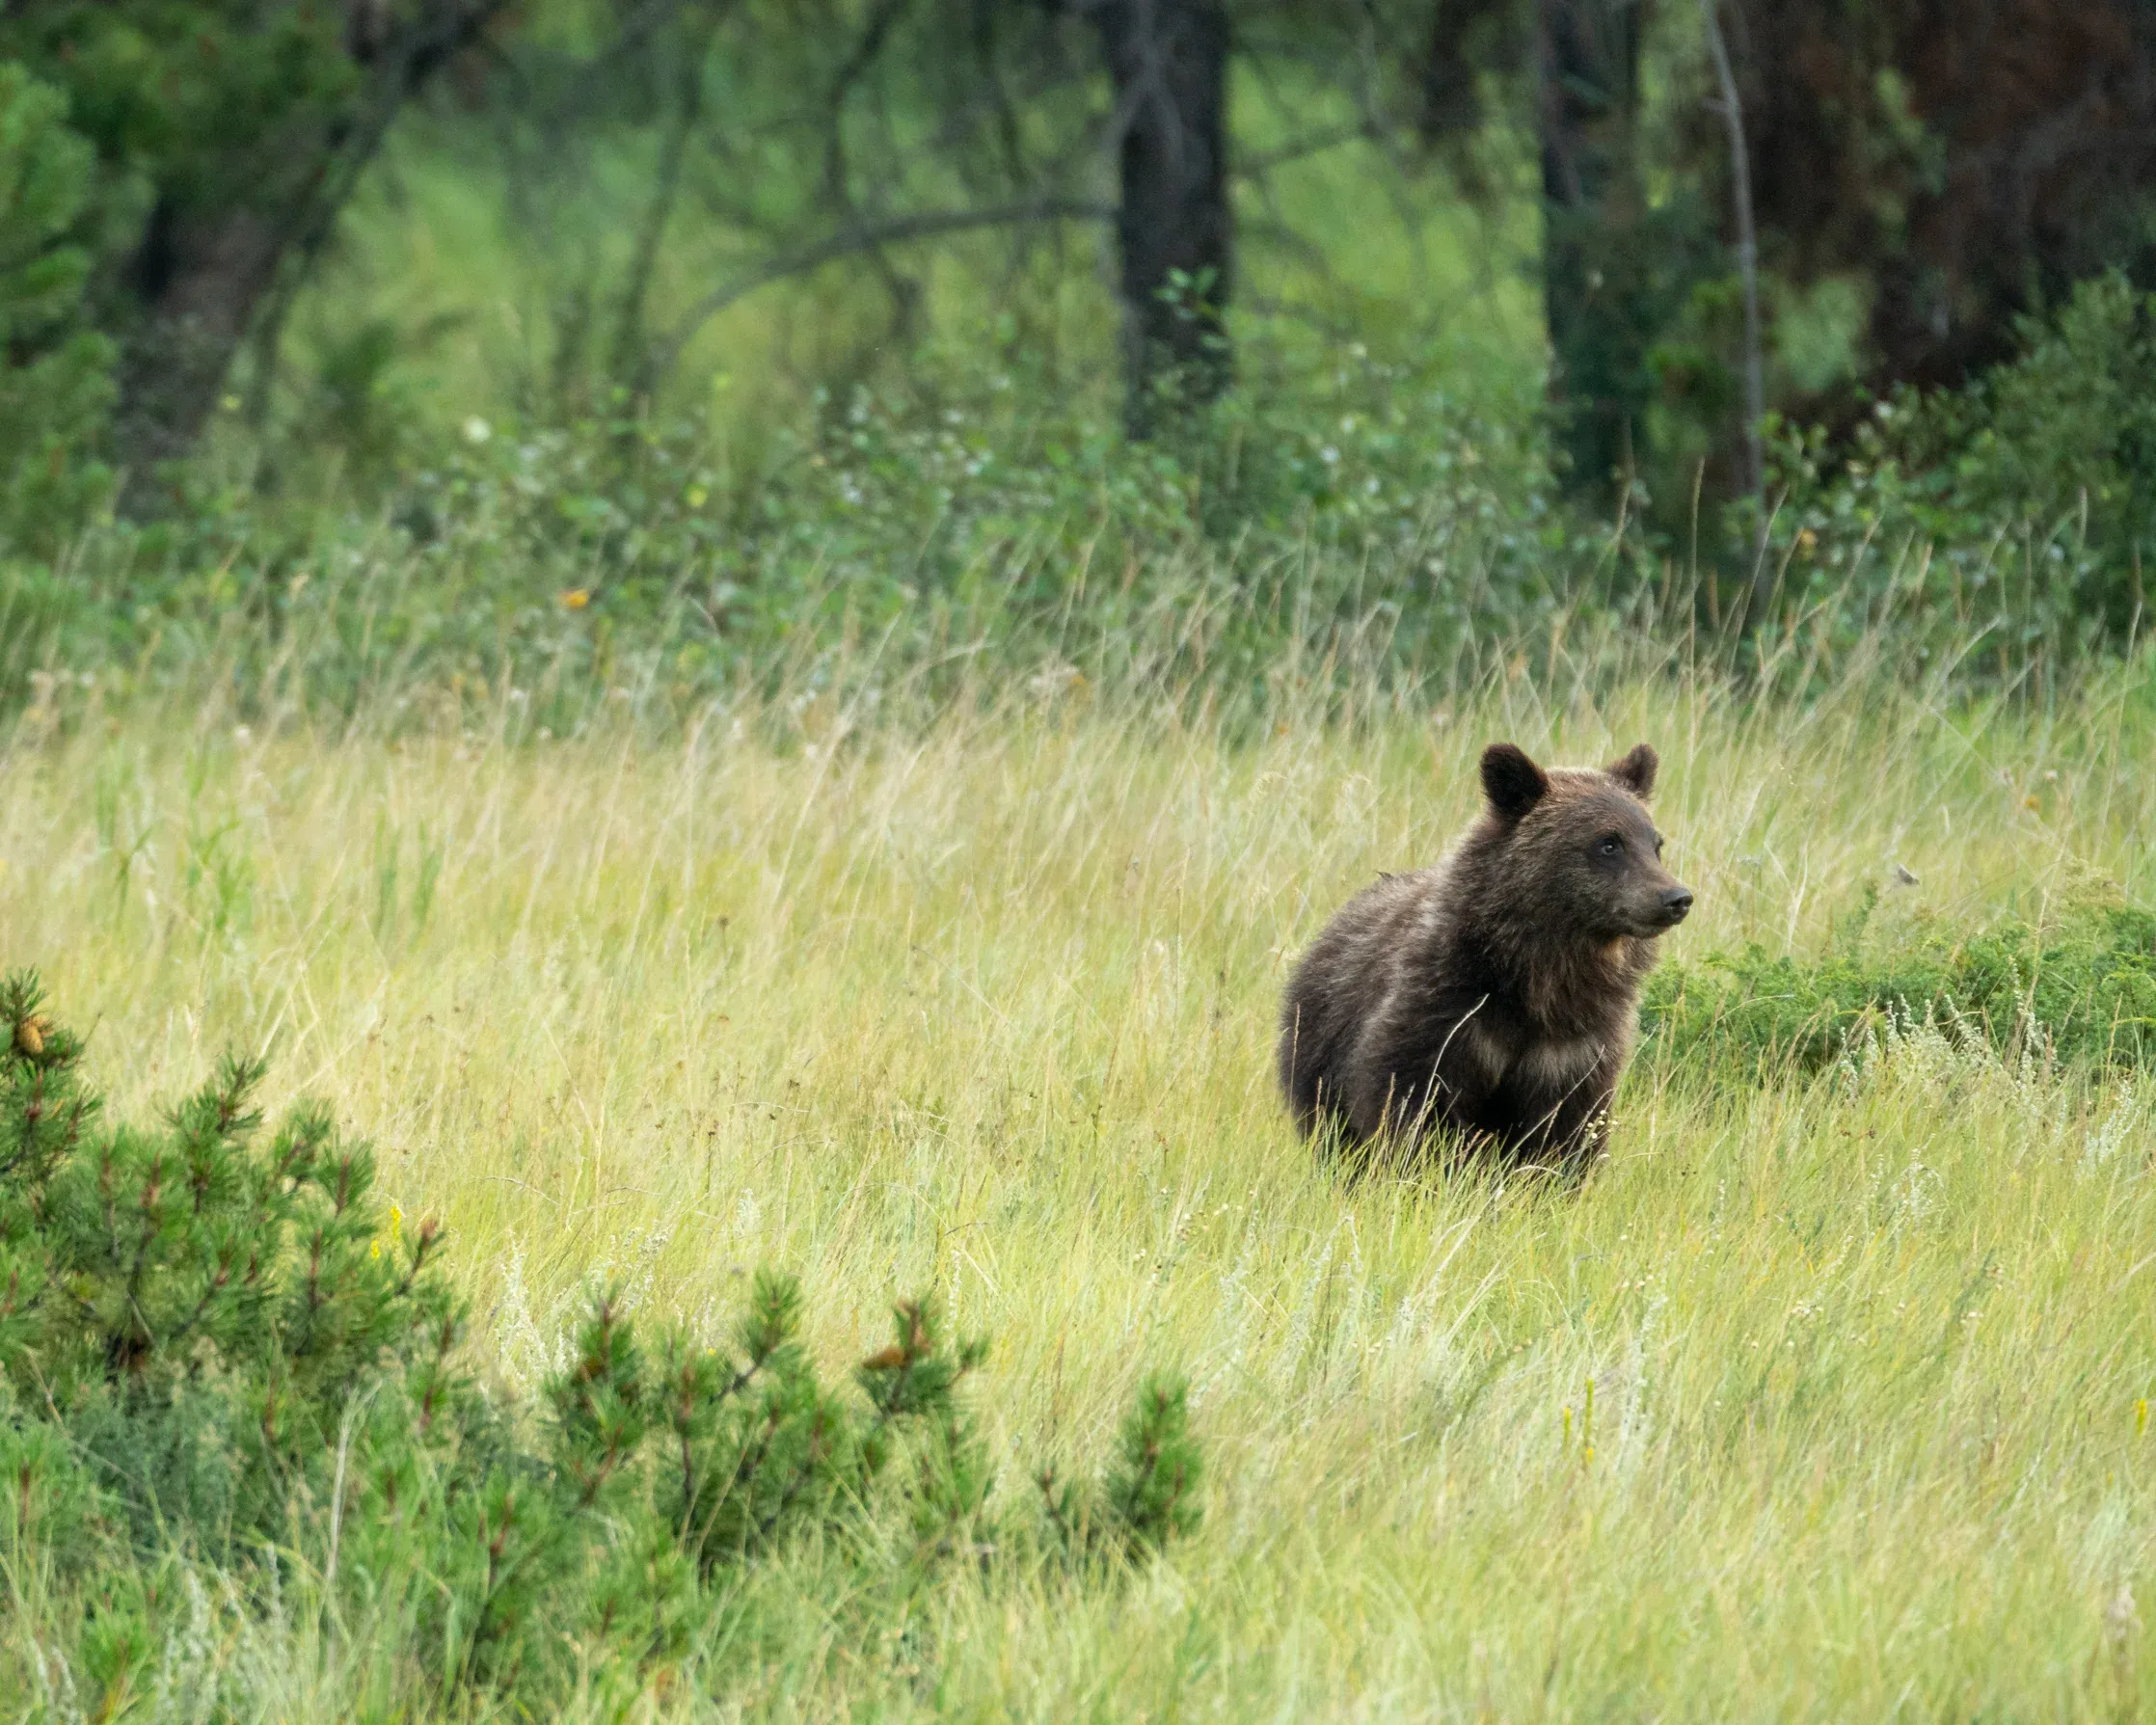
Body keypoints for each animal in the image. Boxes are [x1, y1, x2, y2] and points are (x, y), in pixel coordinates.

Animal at [1277, 740, 1693, 1171]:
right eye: (1609, 842)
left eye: (1655, 844)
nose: (1676, 898)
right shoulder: (1447, 1017)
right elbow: (1411, 1103)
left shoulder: (1576, 1045)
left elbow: (1566, 1130)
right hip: (1318, 1047)